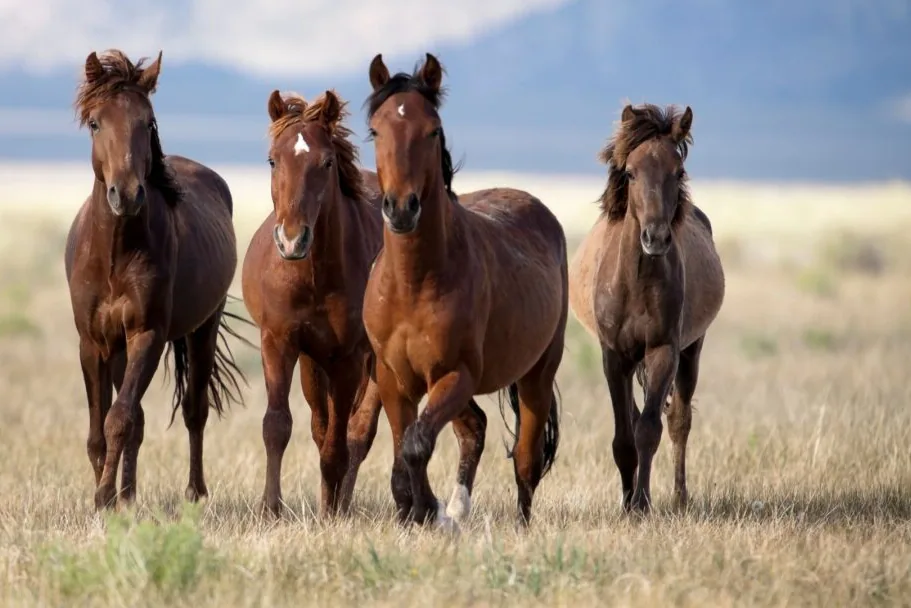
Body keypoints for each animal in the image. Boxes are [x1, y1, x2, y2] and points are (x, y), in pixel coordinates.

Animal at [65, 50, 249, 510]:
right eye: (95, 123)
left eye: (147, 122)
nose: (127, 195)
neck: (115, 254)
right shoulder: (93, 343)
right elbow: (100, 430)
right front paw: (108, 496)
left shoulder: (146, 334)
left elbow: (119, 419)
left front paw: (104, 498)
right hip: (119, 349)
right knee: (142, 420)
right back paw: (130, 496)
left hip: (203, 329)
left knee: (194, 411)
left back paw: (194, 493)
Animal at [240, 89, 489, 518]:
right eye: (273, 160)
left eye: (326, 162)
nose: (291, 239)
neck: (314, 277)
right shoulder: (278, 342)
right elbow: (277, 426)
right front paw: (271, 508)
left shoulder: (349, 359)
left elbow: (340, 445)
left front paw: (330, 513)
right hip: (314, 363)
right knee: (322, 426)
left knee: (357, 434)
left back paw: (346, 504)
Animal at [362, 53, 567, 530]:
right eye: (376, 130)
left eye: (432, 130)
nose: (401, 209)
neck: (413, 283)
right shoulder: (393, 378)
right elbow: (402, 450)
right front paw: (416, 511)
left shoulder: (455, 374)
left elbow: (416, 443)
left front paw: (426, 511)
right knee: (473, 429)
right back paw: (456, 510)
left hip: (537, 374)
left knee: (525, 459)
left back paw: (517, 525)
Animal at [568, 103, 725, 513]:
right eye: (630, 172)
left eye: (678, 171)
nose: (655, 237)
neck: (637, 280)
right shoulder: (614, 357)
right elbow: (624, 436)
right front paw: (628, 502)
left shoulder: (663, 350)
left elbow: (649, 430)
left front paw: (640, 505)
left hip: (692, 350)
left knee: (678, 421)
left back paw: (679, 498)